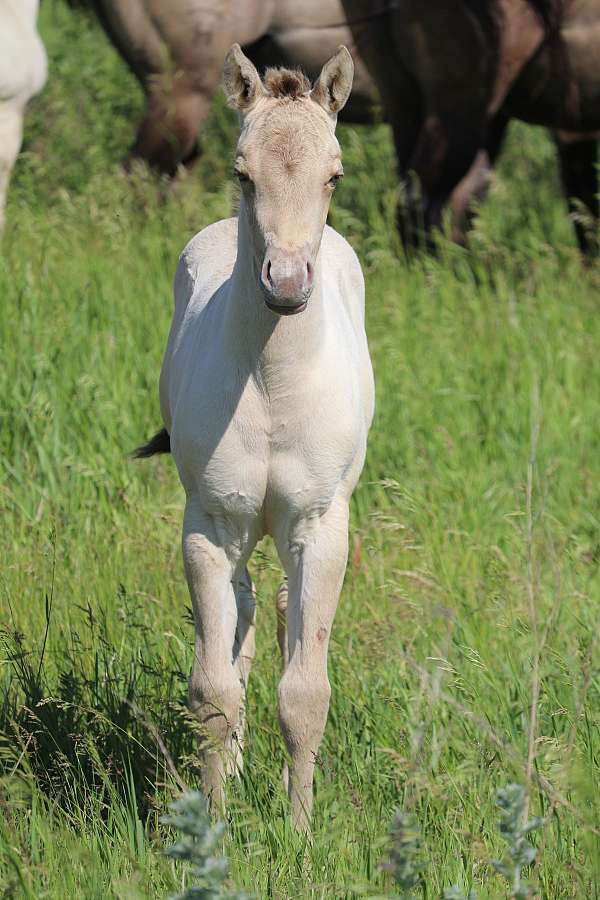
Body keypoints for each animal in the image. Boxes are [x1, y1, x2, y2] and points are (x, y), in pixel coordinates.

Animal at [137, 45, 376, 828]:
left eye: (335, 175)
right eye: (243, 172)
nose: (288, 282)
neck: (273, 387)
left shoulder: (321, 526)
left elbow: (305, 691)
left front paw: (299, 830)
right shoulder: (209, 526)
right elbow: (214, 688)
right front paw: (215, 817)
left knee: (275, 617)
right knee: (240, 624)